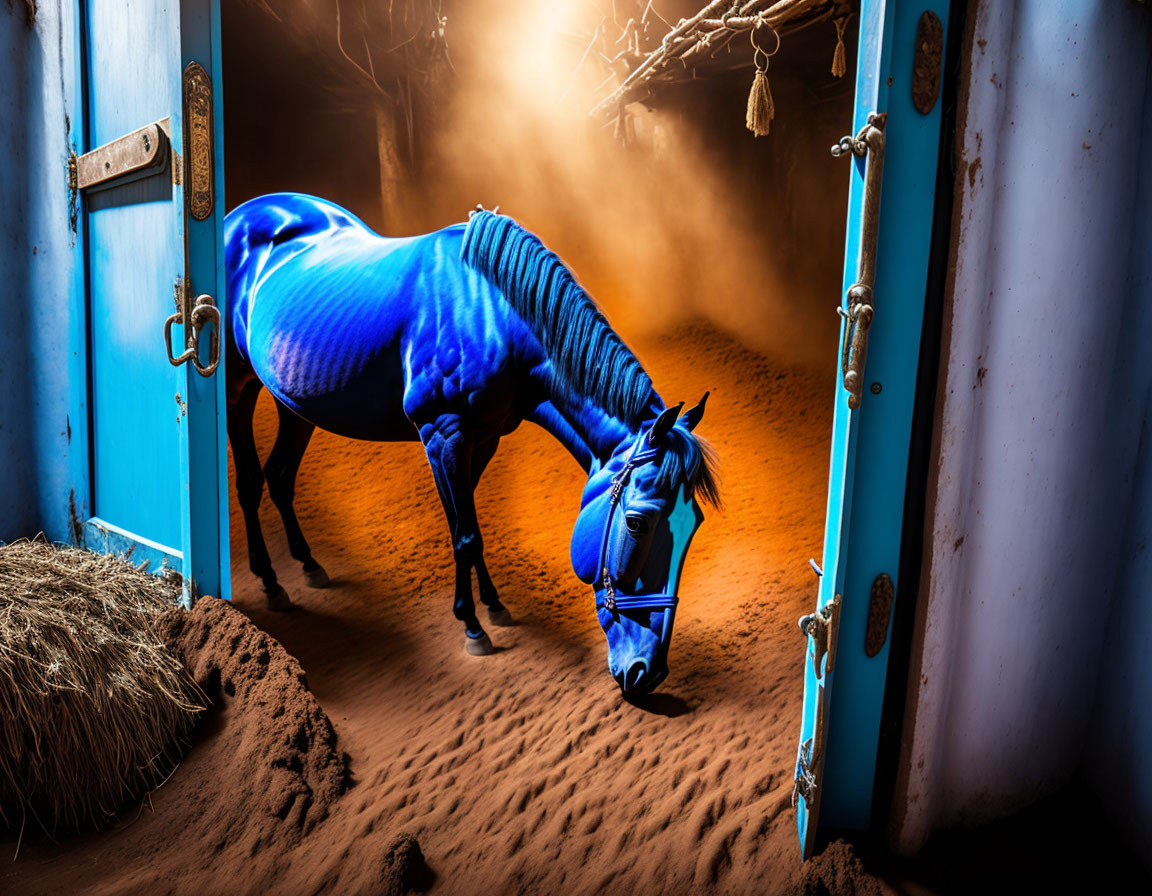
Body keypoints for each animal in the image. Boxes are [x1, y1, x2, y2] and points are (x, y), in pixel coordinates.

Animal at [220, 193, 714, 691]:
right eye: (636, 523)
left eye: (694, 526)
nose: (648, 671)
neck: (490, 315)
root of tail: (240, 214)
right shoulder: (443, 434)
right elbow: (465, 534)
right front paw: (473, 627)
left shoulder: (483, 438)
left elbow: (467, 520)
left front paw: (493, 606)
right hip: (237, 389)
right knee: (249, 484)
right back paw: (270, 581)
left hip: (293, 401)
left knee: (280, 476)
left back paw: (308, 564)